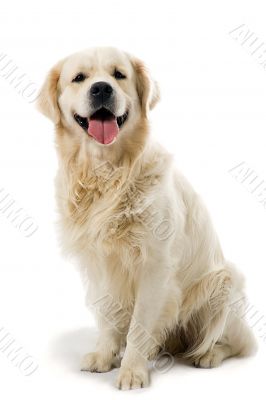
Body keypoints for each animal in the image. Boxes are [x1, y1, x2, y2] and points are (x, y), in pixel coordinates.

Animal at [37, 47, 256, 390]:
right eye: (79, 78)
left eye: (119, 74)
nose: (102, 89)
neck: (106, 173)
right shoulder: (99, 263)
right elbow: (108, 315)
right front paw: (105, 355)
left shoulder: (154, 265)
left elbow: (140, 325)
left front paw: (132, 371)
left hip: (224, 280)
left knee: (239, 342)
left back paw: (208, 354)